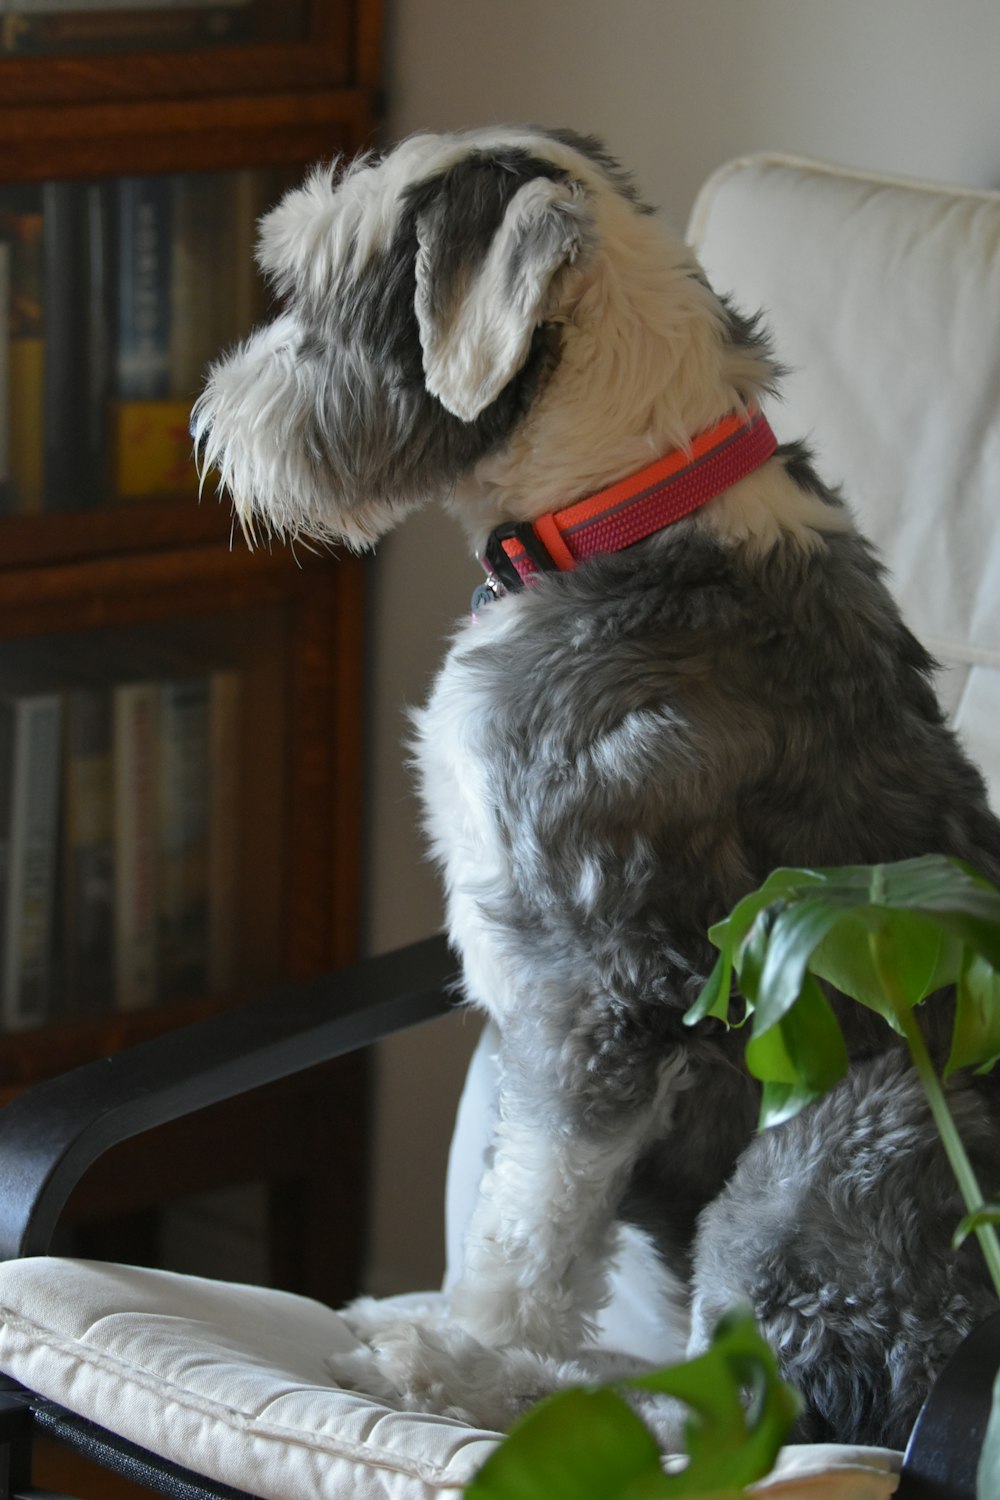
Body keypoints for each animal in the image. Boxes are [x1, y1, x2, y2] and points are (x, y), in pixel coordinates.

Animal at [193, 132, 1000, 1452]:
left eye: (320, 293)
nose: (211, 420)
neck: (619, 506)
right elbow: (544, 1217)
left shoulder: (602, 981)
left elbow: (529, 1218)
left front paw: (463, 1348)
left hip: (839, 1140)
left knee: (743, 1409)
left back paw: (484, 1382)